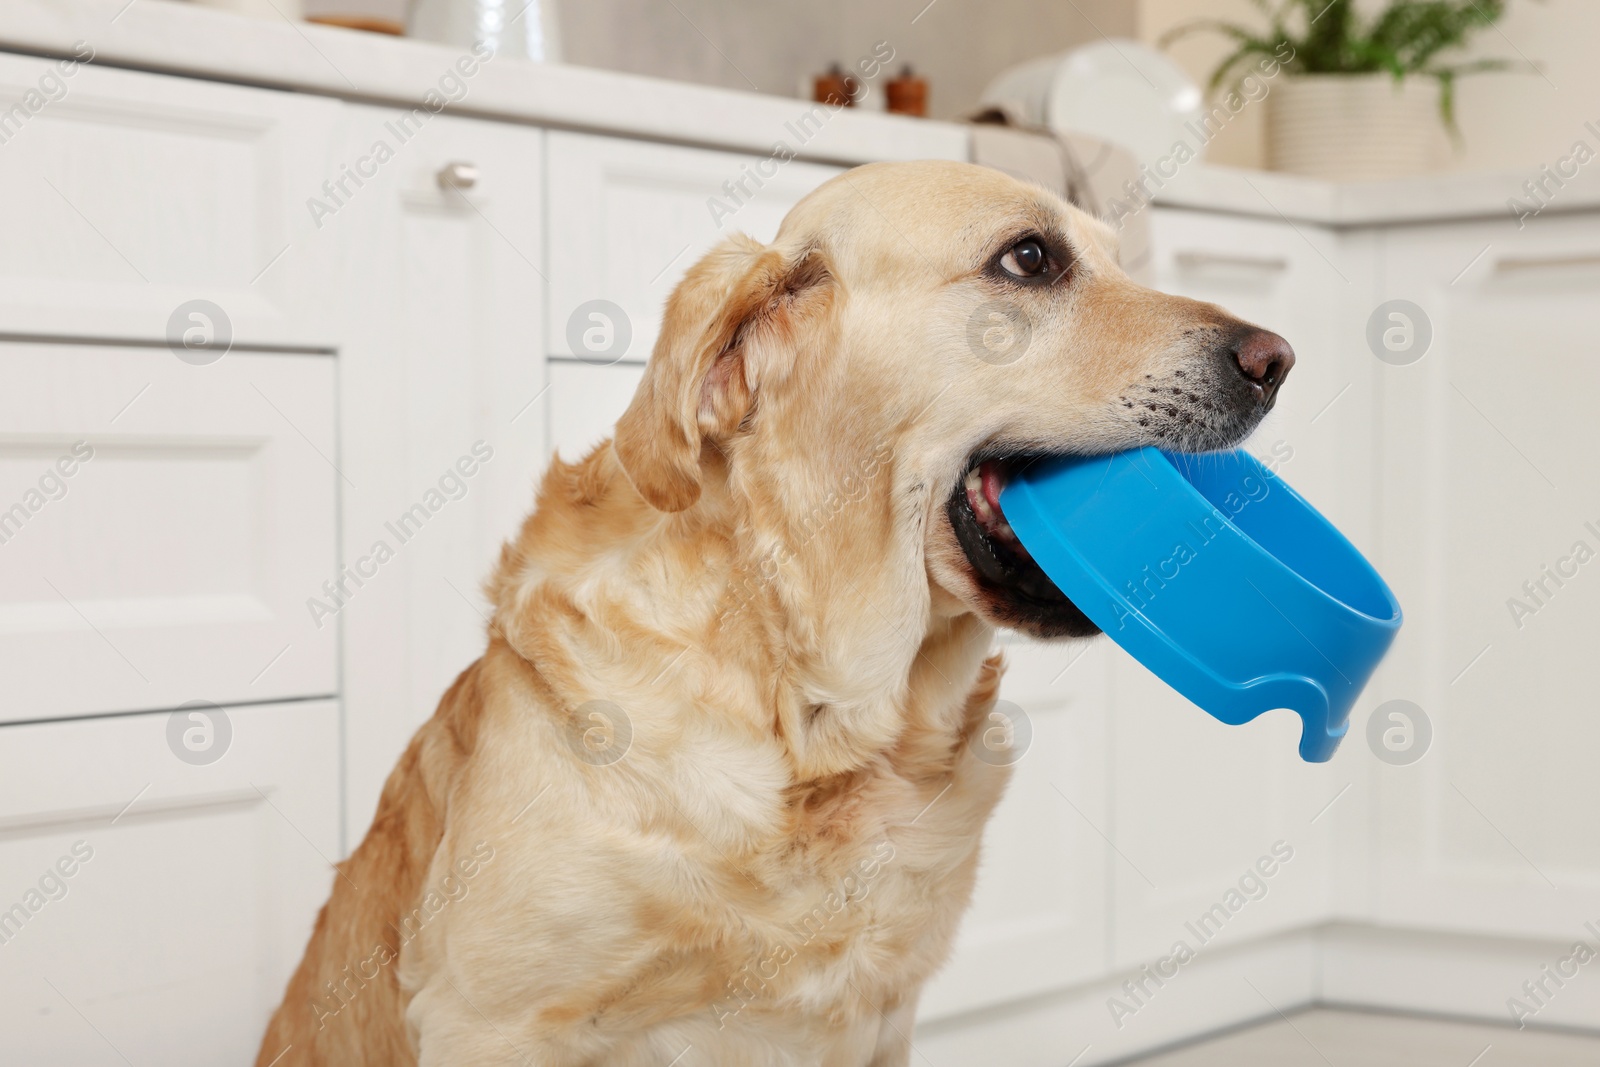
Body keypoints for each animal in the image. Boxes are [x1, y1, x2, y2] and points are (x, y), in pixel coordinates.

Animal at [259, 158, 1286, 1067]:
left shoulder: (884, 1009)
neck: (815, 713)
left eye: (1117, 255)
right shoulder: (489, 1020)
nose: (1276, 359)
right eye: (1029, 259)